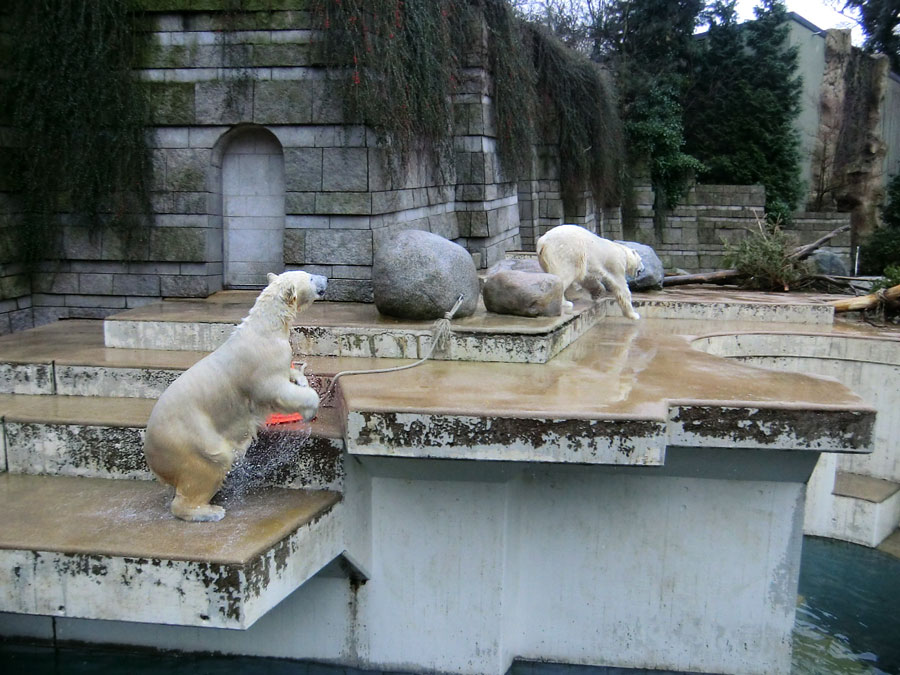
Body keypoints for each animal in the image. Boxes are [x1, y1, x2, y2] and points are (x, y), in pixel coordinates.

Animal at [139, 270, 326, 524]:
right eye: (309, 277)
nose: (325, 279)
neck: (265, 327)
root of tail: (151, 453)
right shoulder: (262, 364)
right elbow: (275, 389)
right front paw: (310, 407)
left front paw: (301, 378)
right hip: (190, 438)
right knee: (209, 463)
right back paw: (210, 511)